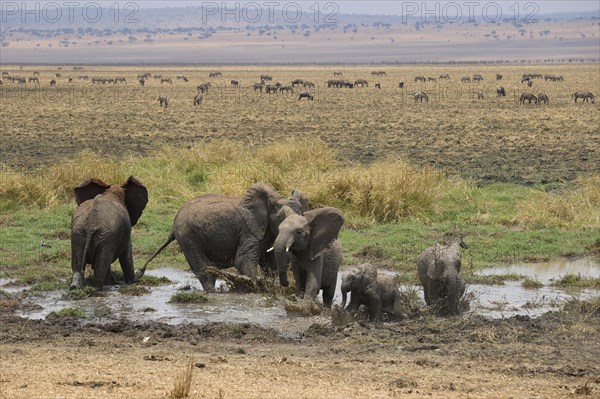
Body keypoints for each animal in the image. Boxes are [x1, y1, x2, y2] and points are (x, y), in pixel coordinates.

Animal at [138, 185, 308, 294]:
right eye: (280, 218)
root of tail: (173, 225)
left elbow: (270, 263)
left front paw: (270, 287)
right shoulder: (249, 230)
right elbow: (242, 260)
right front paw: (256, 287)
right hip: (188, 236)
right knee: (204, 268)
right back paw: (211, 293)